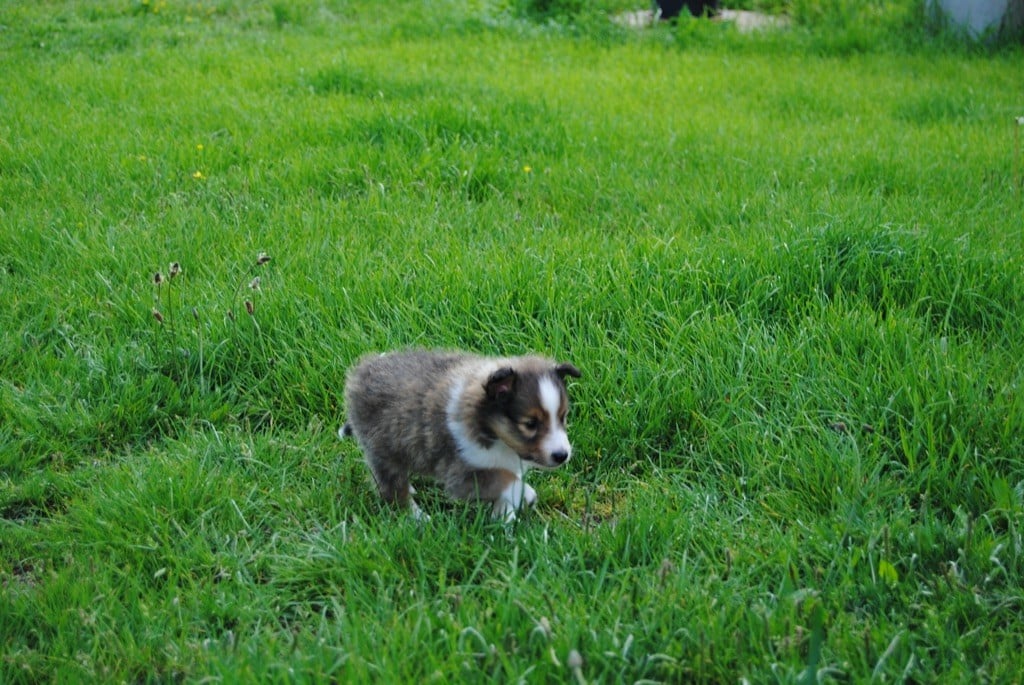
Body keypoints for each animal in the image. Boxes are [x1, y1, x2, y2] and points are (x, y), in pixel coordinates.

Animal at [339, 350, 581, 520]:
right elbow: (501, 479)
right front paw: (526, 495)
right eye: (530, 424)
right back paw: (418, 519)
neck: (494, 435)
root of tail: (358, 374)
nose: (562, 455)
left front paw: (503, 518)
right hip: (383, 449)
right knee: (392, 490)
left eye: (563, 417)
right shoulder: (459, 471)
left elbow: (506, 482)